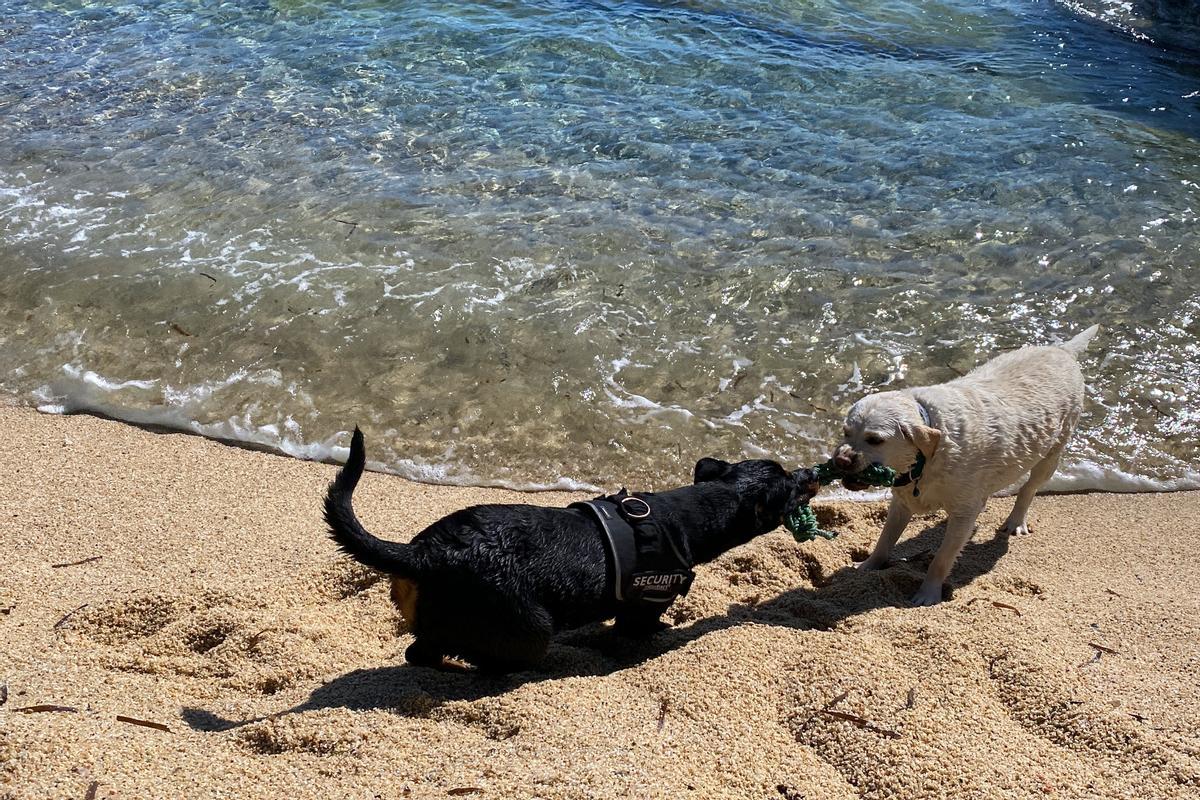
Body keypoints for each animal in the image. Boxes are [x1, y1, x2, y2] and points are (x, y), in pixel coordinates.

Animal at [324, 429, 820, 671]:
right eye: (791, 484)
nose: (813, 473)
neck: (683, 515)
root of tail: (426, 554)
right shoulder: (644, 605)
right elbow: (639, 629)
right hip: (529, 626)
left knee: (420, 654)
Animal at [835, 326, 1099, 606]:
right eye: (845, 432)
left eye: (875, 440)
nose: (840, 460)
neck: (926, 456)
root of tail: (1062, 350)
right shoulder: (902, 502)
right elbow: (884, 540)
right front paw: (868, 566)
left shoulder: (962, 514)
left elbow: (941, 559)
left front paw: (928, 594)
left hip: (1052, 450)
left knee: (1029, 488)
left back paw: (1016, 521)